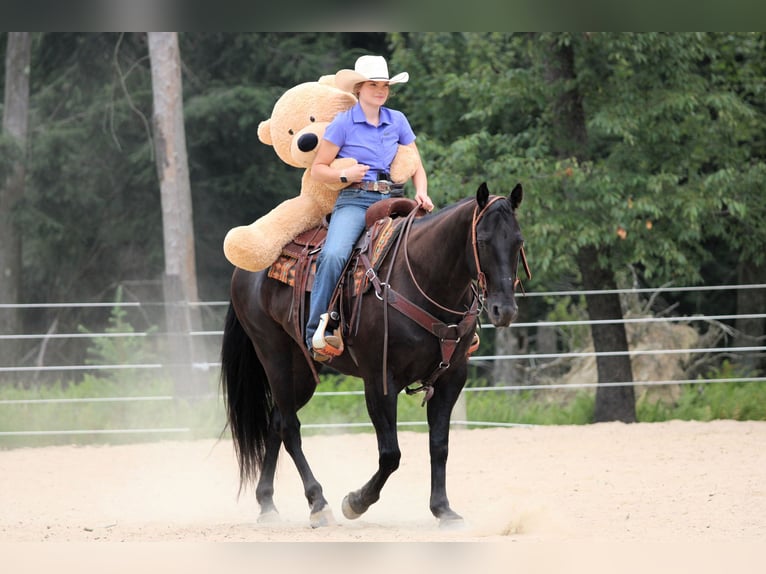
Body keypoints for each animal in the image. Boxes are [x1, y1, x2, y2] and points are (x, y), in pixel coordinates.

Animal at [220, 181, 526, 528]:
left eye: (518, 242)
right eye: (483, 241)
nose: (504, 310)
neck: (422, 278)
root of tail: (245, 270)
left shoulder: (451, 377)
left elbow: (439, 445)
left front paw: (443, 509)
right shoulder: (380, 379)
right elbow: (391, 454)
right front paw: (356, 502)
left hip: (302, 371)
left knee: (276, 422)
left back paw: (267, 504)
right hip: (275, 356)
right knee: (289, 428)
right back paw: (318, 503)